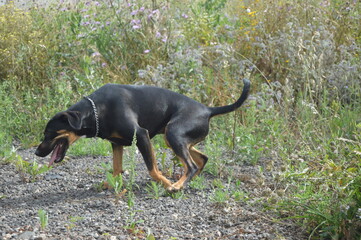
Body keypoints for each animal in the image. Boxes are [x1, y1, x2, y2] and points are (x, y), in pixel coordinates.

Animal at [35, 79, 250, 191]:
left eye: (49, 133)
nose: (37, 153)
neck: (96, 110)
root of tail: (208, 110)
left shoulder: (141, 135)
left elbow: (153, 170)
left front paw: (166, 183)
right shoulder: (116, 143)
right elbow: (116, 168)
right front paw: (111, 183)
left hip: (173, 134)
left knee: (191, 166)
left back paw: (177, 185)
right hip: (174, 138)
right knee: (201, 160)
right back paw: (187, 182)